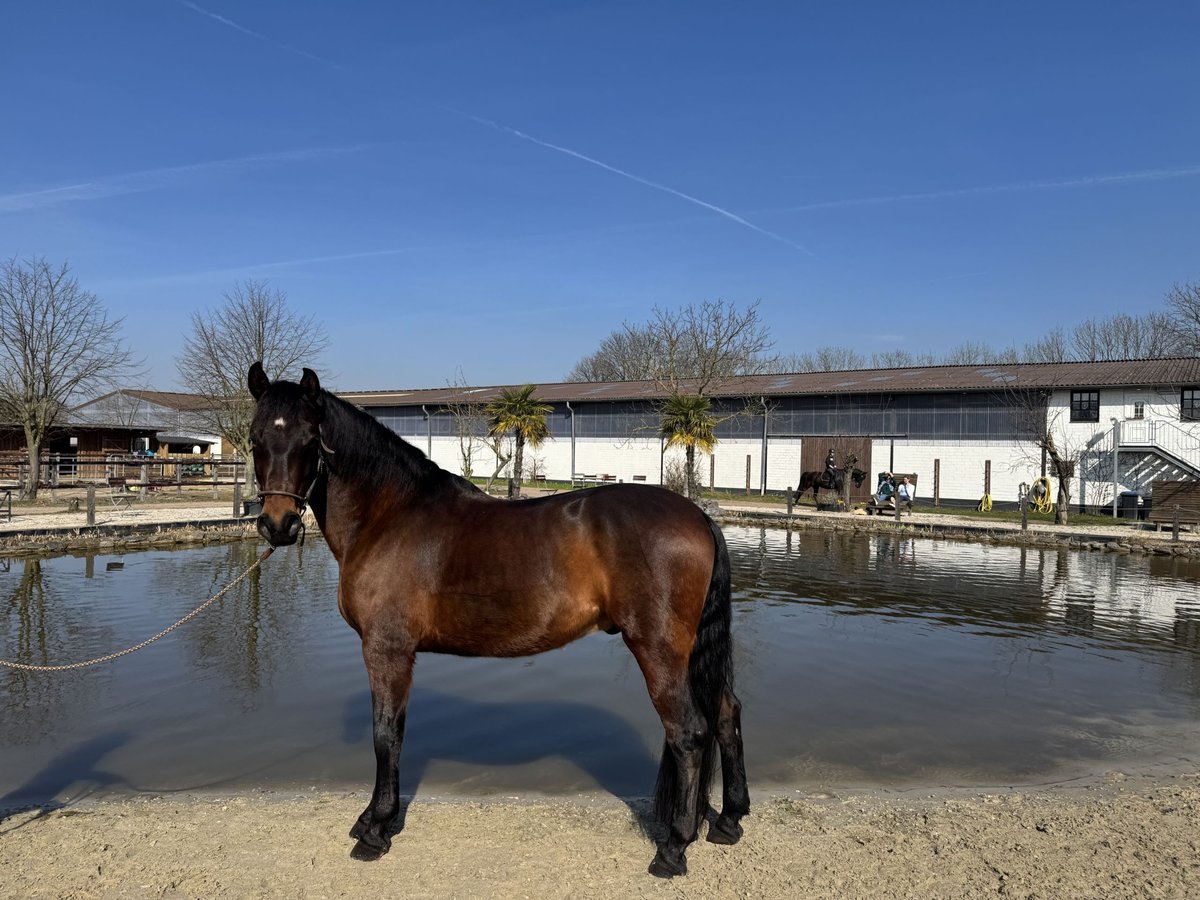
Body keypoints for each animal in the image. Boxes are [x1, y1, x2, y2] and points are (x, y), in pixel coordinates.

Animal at [247, 362, 744, 878]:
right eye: (254, 438)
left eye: (310, 439)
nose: (277, 525)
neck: (388, 515)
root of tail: (699, 516)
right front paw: (369, 819)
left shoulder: (387, 649)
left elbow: (386, 734)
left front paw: (376, 829)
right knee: (726, 714)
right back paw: (728, 822)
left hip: (659, 648)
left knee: (689, 732)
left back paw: (674, 848)